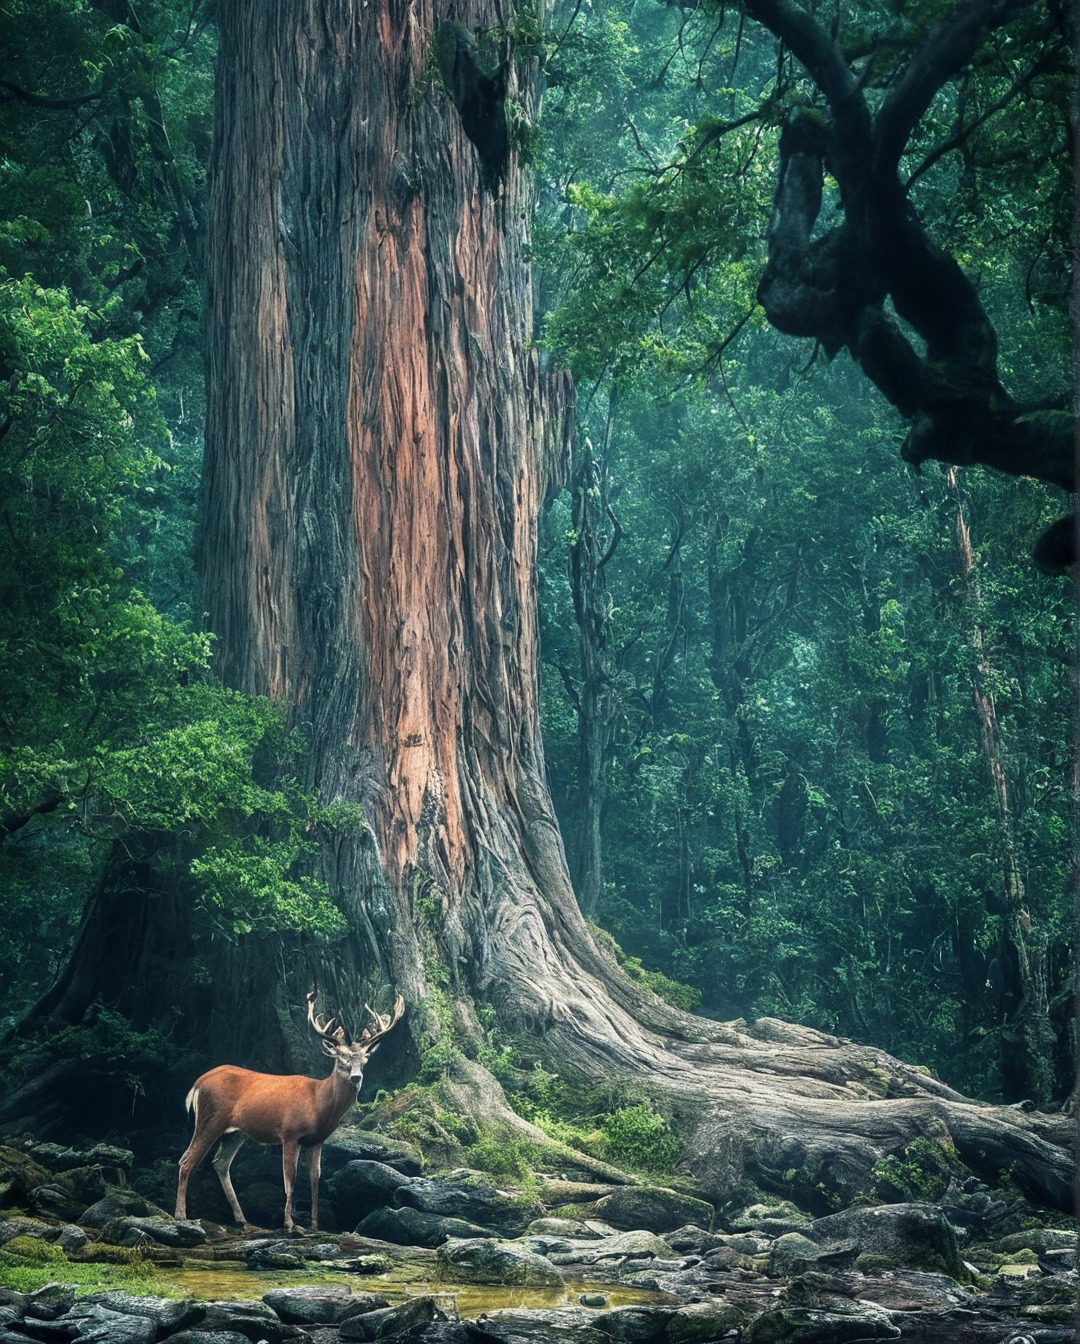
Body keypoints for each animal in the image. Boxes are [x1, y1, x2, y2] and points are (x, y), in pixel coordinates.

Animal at [177, 994, 405, 1231]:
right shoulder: (289, 1134)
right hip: (210, 1118)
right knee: (186, 1160)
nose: (356, 1077)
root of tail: (198, 1083)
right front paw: (289, 1223)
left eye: (364, 1059)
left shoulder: (316, 1140)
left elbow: (315, 1179)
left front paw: (314, 1225)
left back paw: (242, 1219)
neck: (317, 1102)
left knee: (220, 1163)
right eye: (341, 1059)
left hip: (235, 1132)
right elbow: (290, 1180)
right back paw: (181, 1216)